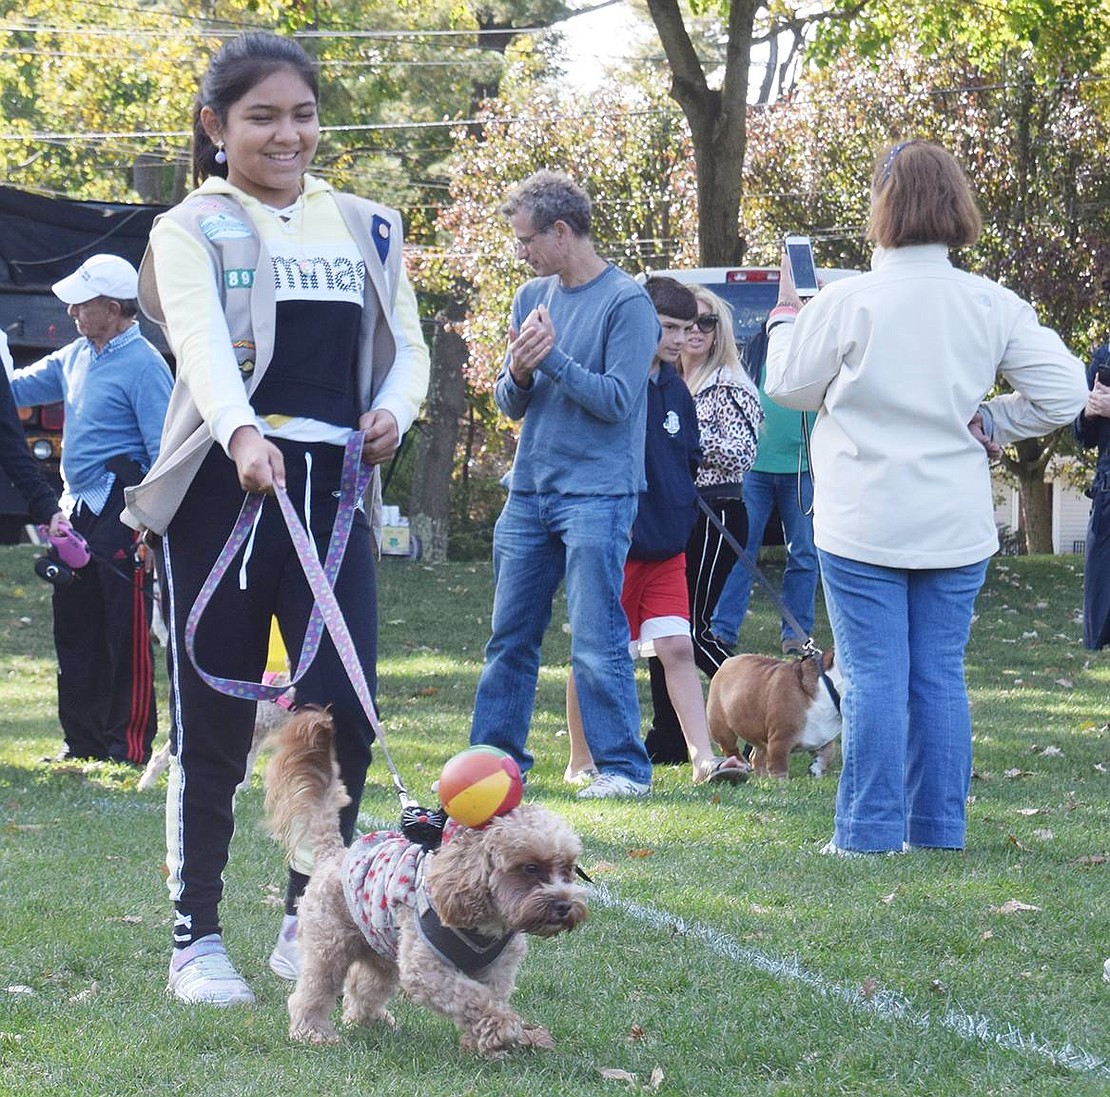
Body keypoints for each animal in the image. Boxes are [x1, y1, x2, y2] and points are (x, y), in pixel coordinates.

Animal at [263, 706, 586, 1057]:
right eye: (530, 867)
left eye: (568, 868)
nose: (564, 905)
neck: (486, 922)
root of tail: (335, 853)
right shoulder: (426, 968)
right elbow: (471, 998)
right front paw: (502, 1027)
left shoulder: (497, 969)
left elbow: (489, 997)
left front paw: (483, 1041)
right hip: (329, 945)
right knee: (313, 990)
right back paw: (313, 1032)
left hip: (380, 946)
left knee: (365, 985)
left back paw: (371, 1020)